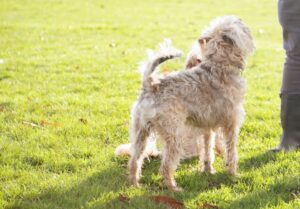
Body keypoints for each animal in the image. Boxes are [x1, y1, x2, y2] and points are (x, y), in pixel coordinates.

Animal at [127, 15, 254, 191]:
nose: (240, 18)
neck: (220, 64)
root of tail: (151, 85)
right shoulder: (231, 124)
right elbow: (231, 152)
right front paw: (233, 174)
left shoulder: (207, 128)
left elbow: (208, 151)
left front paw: (208, 171)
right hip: (175, 136)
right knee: (165, 166)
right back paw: (173, 188)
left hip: (141, 133)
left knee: (134, 161)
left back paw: (135, 185)